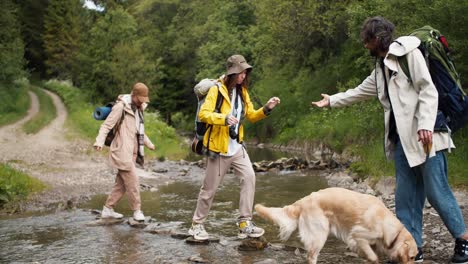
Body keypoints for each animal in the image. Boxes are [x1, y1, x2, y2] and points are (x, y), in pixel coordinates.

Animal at [256, 187, 416, 262]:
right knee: (311, 256)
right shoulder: (358, 235)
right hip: (319, 234)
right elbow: (373, 256)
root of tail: (303, 200)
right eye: (412, 257)